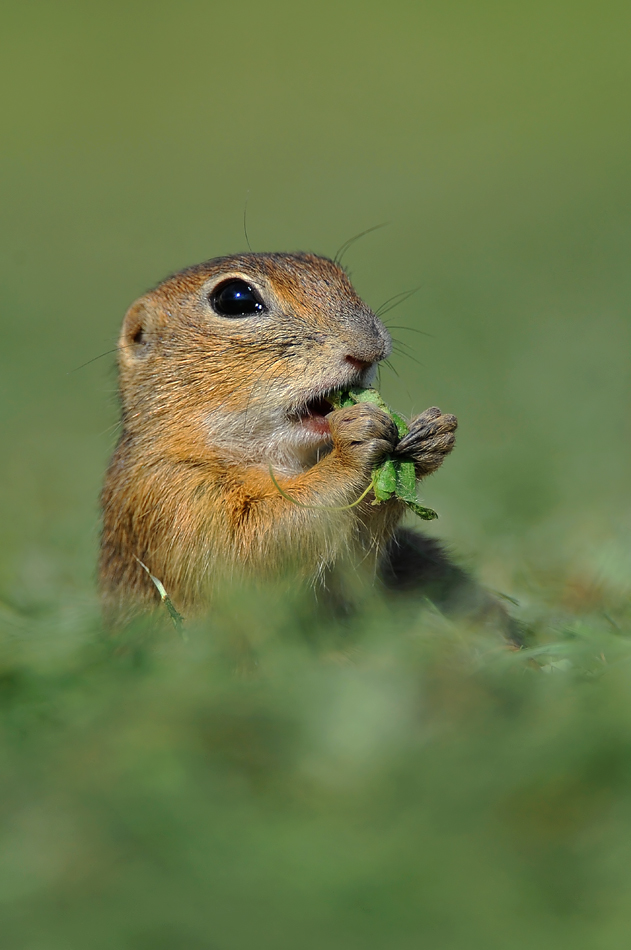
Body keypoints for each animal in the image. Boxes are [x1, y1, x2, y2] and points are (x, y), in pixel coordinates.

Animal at [100, 249, 498, 628]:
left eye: (337, 274)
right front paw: (355, 443)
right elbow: (250, 553)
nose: (372, 347)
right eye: (235, 298)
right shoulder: (172, 496)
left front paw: (433, 433)